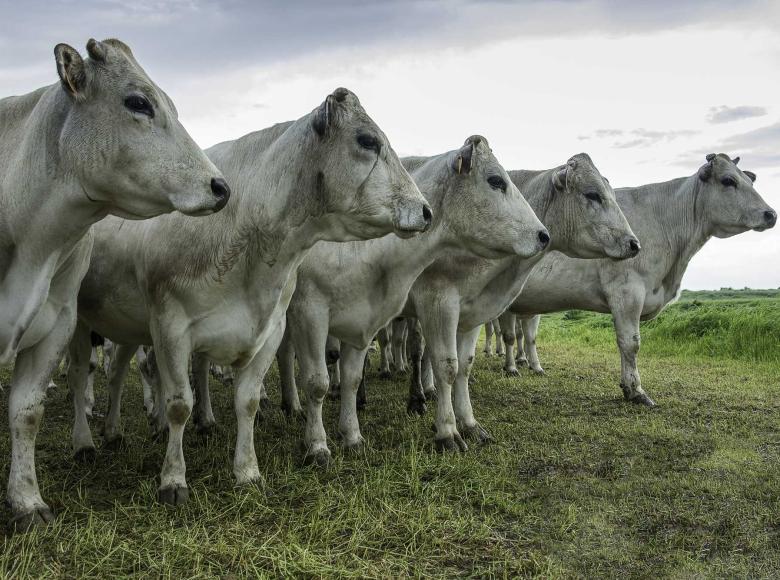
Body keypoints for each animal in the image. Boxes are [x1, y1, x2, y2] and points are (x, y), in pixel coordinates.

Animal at [69, 88, 430, 506]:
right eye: (368, 140)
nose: (426, 210)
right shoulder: (170, 327)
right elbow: (179, 404)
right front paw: (173, 479)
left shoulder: (269, 330)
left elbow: (248, 401)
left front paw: (247, 471)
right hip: (78, 322)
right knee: (83, 374)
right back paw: (85, 441)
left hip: (127, 325)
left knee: (116, 373)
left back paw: (117, 429)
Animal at [500, 154, 772, 404]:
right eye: (729, 180)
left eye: (750, 180)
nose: (771, 214)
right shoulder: (627, 292)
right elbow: (630, 343)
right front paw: (636, 390)